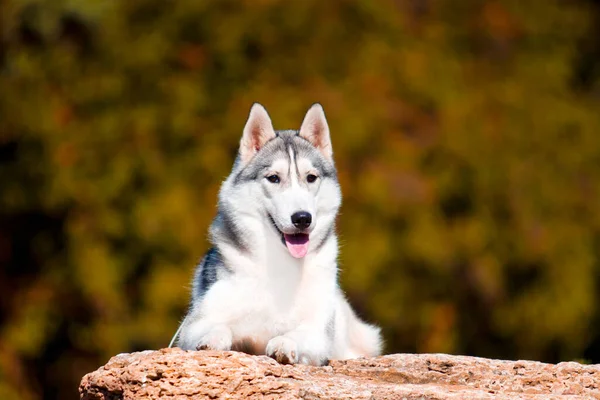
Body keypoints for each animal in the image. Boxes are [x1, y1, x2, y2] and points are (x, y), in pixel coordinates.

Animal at [171, 104, 382, 366]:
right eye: (273, 178)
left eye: (311, 177)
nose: (302, 218)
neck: (280, 265)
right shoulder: (194, 324)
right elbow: (218, 327)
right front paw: (213, 338)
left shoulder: (318, 332)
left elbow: (298, 334)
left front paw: (284, 343)